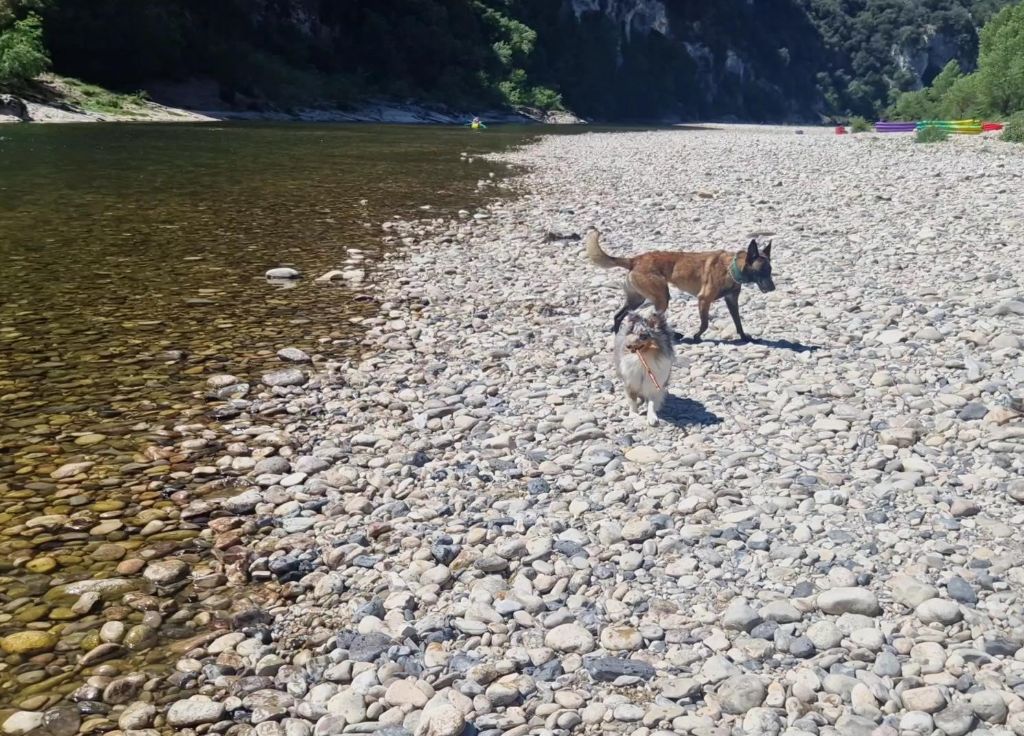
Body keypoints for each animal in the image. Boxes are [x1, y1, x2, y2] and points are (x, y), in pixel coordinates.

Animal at [585, 230, 774, 341]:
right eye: (762, 271)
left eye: (770, 270)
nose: (773, 288)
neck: (731, 268)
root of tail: (635, 260)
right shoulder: (704, 300)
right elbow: (705, 323)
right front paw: (697, 337)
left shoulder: (732, 301)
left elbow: (738, 322)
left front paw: (744, 337)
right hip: (662, 297)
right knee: (654, 319)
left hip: (637, 300)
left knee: (618, 316)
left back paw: (618, 334)